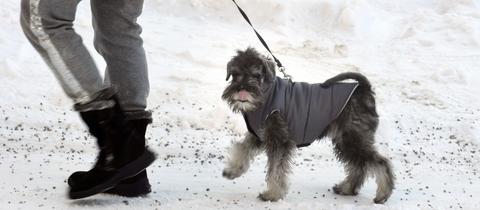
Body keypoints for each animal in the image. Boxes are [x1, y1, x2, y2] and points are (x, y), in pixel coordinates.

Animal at [221, 48, 394, 203]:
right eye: (235, 74)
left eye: (256, 75)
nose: (242, 91)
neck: (267, 95)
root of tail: (364, 88)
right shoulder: (259, 135)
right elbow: (242, 148)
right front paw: (232, 170)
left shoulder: (279, 141)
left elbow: (276, 169)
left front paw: (272, 194)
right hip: (346, 141)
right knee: (359, 165)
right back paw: (347, 188)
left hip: (353, 138)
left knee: (380, 163)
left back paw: (382, 195)